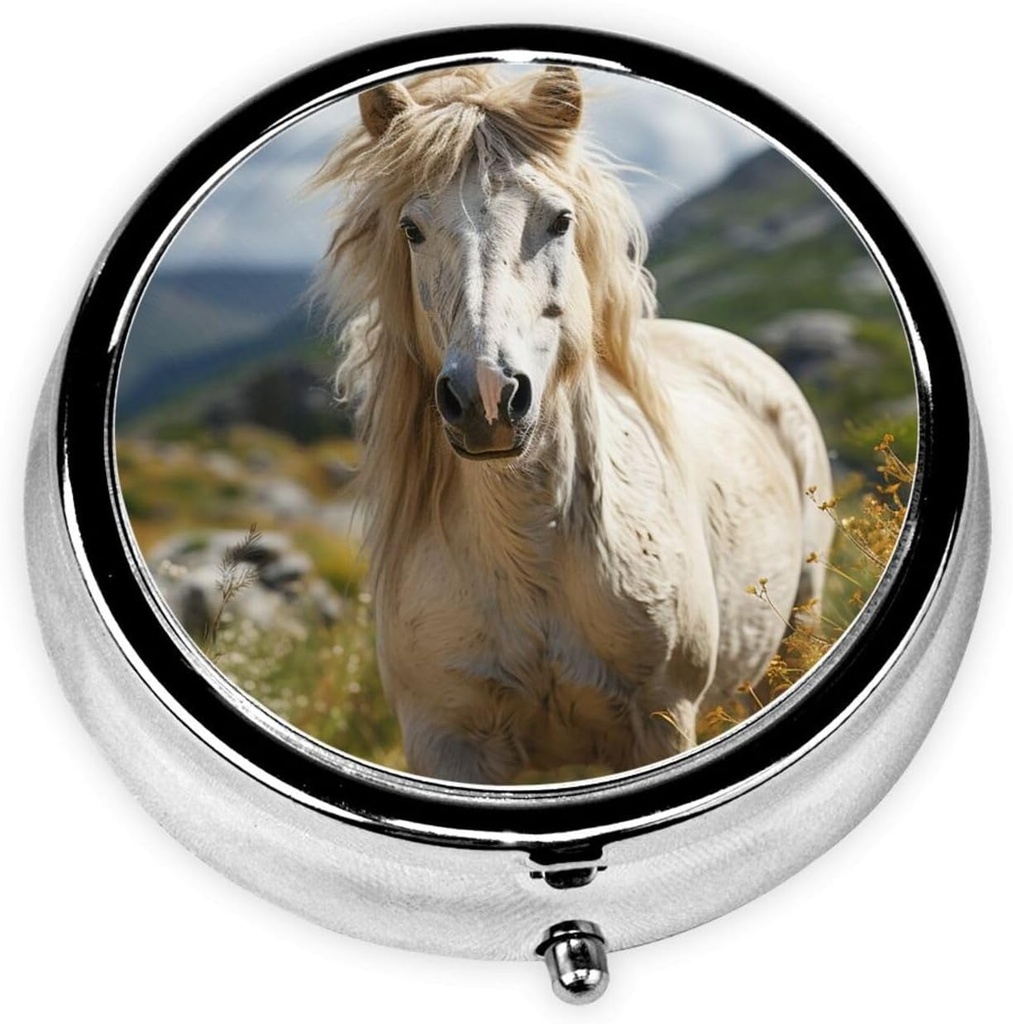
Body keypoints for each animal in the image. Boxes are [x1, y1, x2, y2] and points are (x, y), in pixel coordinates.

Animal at [313, 65, 834, 784]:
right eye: (411, 229)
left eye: (559, 220)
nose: (486, 397)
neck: (531, 552)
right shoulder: (448, 741)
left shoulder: (660, 720)